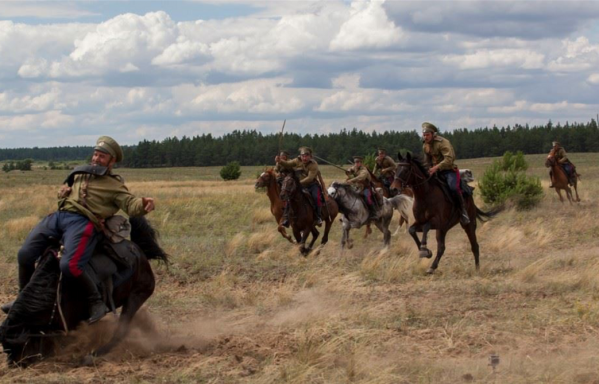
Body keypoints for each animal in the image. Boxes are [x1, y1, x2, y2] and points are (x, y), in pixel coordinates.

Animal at [0, 218, 169, 368]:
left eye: (20, 344)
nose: (14, 364)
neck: (55, 289)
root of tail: (138, 251)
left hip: (136, 296)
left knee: (120, 332)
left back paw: (92, 356)